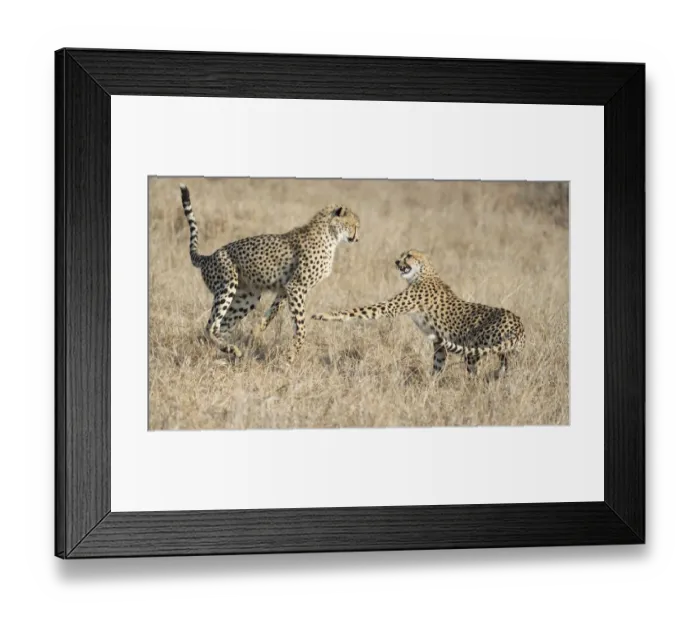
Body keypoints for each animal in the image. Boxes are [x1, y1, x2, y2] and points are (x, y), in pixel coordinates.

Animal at [179, 183, 360, 360]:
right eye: (354, 225)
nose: (357, 238)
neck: (331, 234)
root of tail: (208, 256)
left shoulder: (285, 288)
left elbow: (271, 313)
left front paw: (255, 333)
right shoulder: (297, 287)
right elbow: (301, 325)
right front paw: (292, 354)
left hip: (247, 297)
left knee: (221, 326)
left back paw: (227, 352)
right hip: (227, 286)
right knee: (210, 326)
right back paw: (228, 348)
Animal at [312, 249, 524, 376]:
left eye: (408, 255)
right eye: (401, 255)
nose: (396, 261)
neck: (423, 272)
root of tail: (518, 323)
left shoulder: (389, 306)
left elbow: (358, 311)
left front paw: (324, 315)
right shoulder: (439, 343)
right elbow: (438, 364)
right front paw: (431, 385)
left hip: (476, 350)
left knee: (476, 371)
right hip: (506, 352)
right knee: (507, 368)